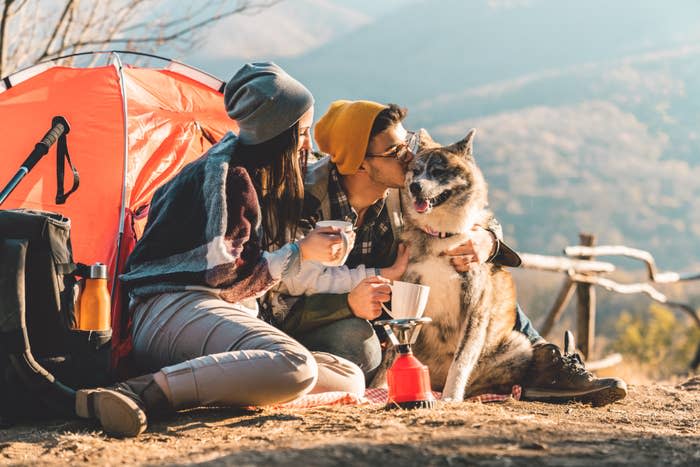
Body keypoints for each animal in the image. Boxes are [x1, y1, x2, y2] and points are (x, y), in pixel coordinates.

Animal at [394, 129, 532, 402]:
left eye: (438, 171)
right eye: (416, 170)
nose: (415, 186)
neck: (441, 235)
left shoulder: (474, 307)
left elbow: (461, 361)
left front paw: (451, 397)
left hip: (519, 345)